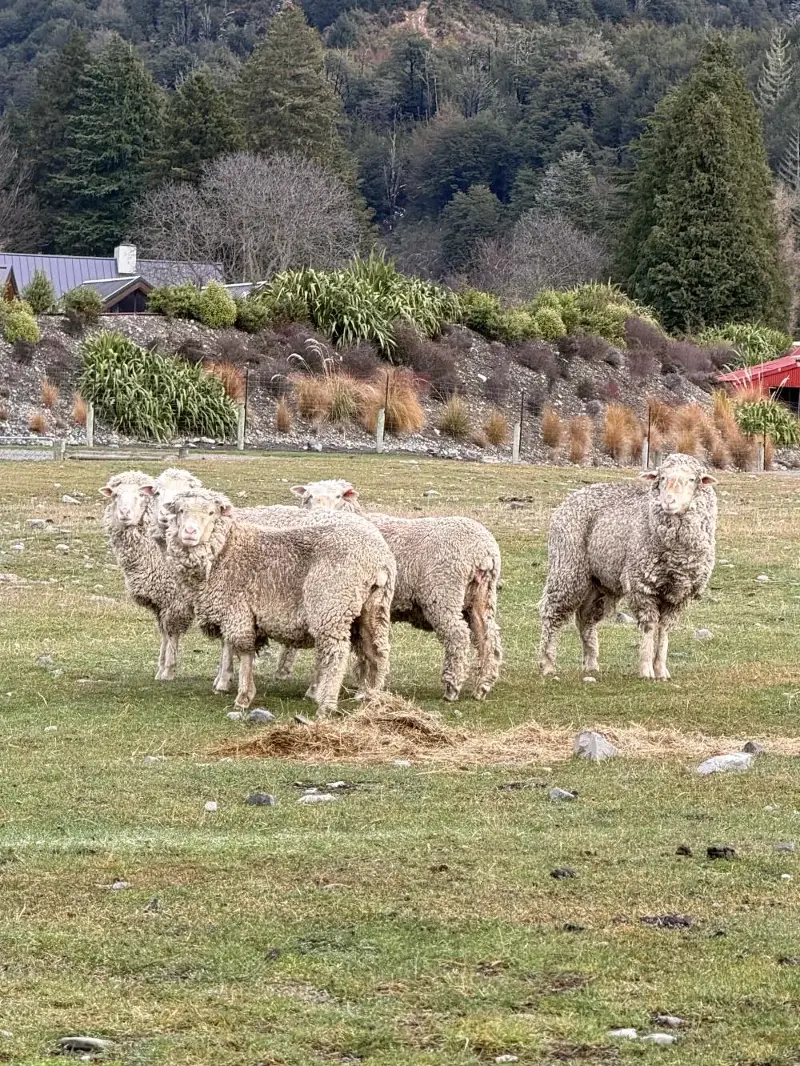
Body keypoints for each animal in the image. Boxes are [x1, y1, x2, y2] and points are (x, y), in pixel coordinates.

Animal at [100, 470, 195, 681]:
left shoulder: (176, 601)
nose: (124, 513)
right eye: (115, 495)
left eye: (141, 495)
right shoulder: (160, 602)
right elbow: (163, 633)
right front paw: (160, 668)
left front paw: (168, 670)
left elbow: (172, 633)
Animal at [164, 488, 396, 713]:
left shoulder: (237, 610)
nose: (189, 532)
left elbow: (244, 651)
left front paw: (243, 696)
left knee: (336, 654)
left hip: (331, 606)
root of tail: (378, 560)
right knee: (377, 651)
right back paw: (371, 697)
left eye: (211, 513)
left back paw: (327, 704)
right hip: (375, 607)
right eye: (181, 511)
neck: (226, 549)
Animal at [289, 479, 503, 701]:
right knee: (488, 636)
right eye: (308, 497)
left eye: (339, 496)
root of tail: (484, 552)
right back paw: (483, 686)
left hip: (443, 592)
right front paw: (364, 684)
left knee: (458, 636)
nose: (320, 512)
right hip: (481, 596)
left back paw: (452, 688)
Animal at [538, 452, 718, 680]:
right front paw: (646, 670)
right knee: (551, 613)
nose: (669, 501)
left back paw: (591, 663)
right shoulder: (642, 585)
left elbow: (664, 630)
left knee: (585, 618)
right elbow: (649, 627)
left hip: (598, 581)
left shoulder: (679, 594)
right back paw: (547, 664)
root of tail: (573, 496)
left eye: (692, 479)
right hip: (568, 567)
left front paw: (661, 670)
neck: (674, 553)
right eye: (661, 477)